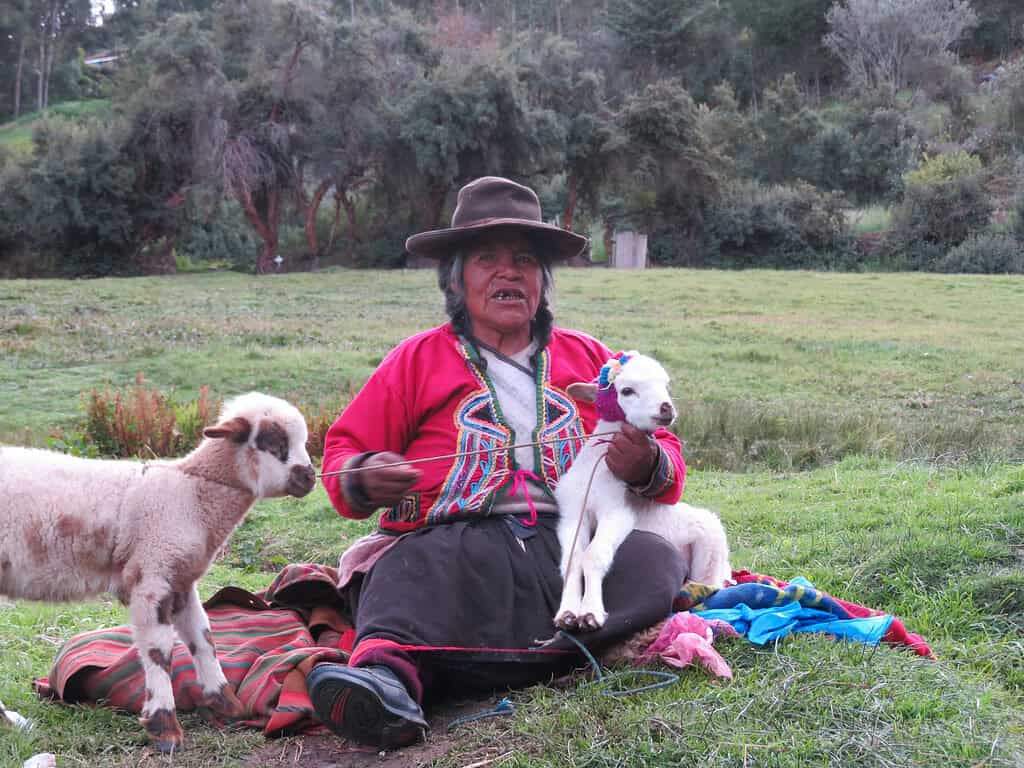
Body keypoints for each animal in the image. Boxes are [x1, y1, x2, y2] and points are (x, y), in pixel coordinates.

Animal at [0, 393, 315, 753]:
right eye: (275, 443)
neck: (191, 496)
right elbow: (159, 652)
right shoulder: (152, 574)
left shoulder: (180, 579)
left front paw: (226, 703)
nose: (310, 477)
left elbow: (203, 638)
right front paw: (164, 727)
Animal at [557, 354, 733, 630]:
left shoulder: (618, 512)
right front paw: (566, 612)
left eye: (666, 386)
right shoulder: (573, 513)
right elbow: (572, 559)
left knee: (714, 585)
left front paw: (590, 613)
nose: (666, 408)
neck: (596, 474)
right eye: (627, 391)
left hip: (710, 553)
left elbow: (593, 556)